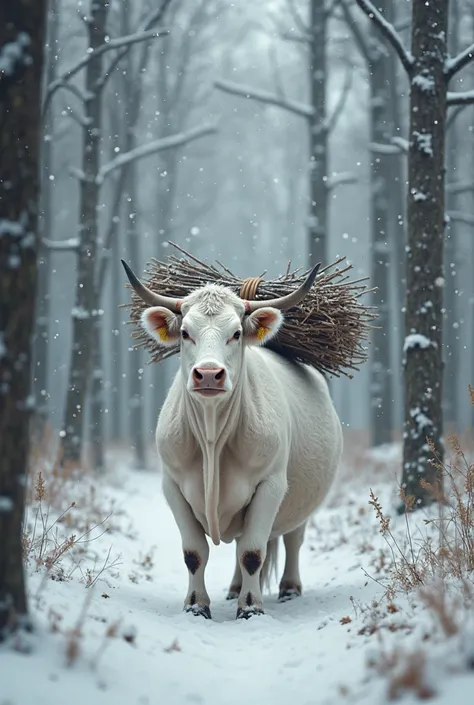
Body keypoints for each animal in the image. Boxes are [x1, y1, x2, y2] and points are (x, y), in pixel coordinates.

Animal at [122, 262, 342, 620]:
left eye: (236, 333)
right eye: (185, 332)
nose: (209, 374)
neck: (213, 439)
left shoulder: (271, 485)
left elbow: (253, 552)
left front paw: (250, 608)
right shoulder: (173, 487)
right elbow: (194, 553)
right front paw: (196, 605)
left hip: (301, 501)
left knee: (291, 539)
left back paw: (289, 589)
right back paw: (235, 588)